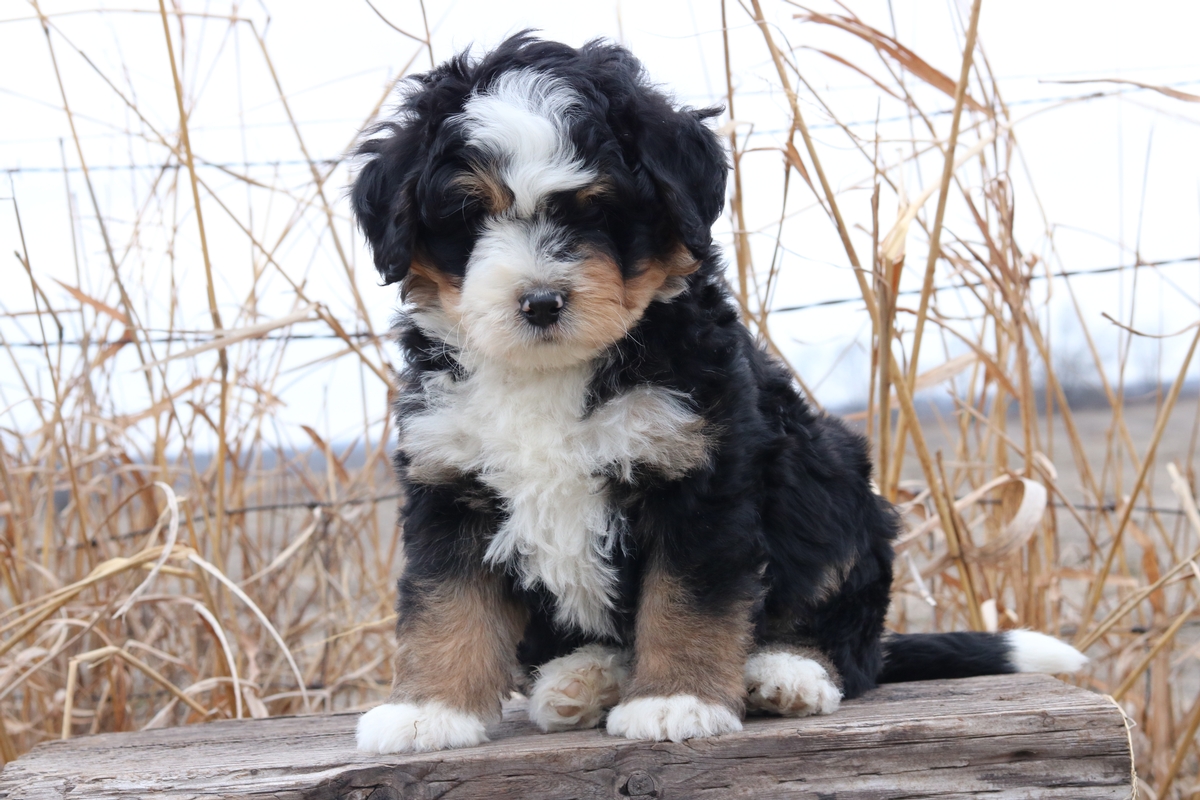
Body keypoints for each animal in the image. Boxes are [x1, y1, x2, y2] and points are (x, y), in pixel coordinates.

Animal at [350, 32, 1089, 758]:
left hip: (839, 494)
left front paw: (677, 700)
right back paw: (583, 679)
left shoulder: (700, 476)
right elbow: (446, 604)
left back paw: (786, 674)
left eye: (602, 212)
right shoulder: (449, 481)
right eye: (469, 215)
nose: (540, 302)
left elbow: (687, 602)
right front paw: (427, 712)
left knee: (848, 642)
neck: (549, 374)